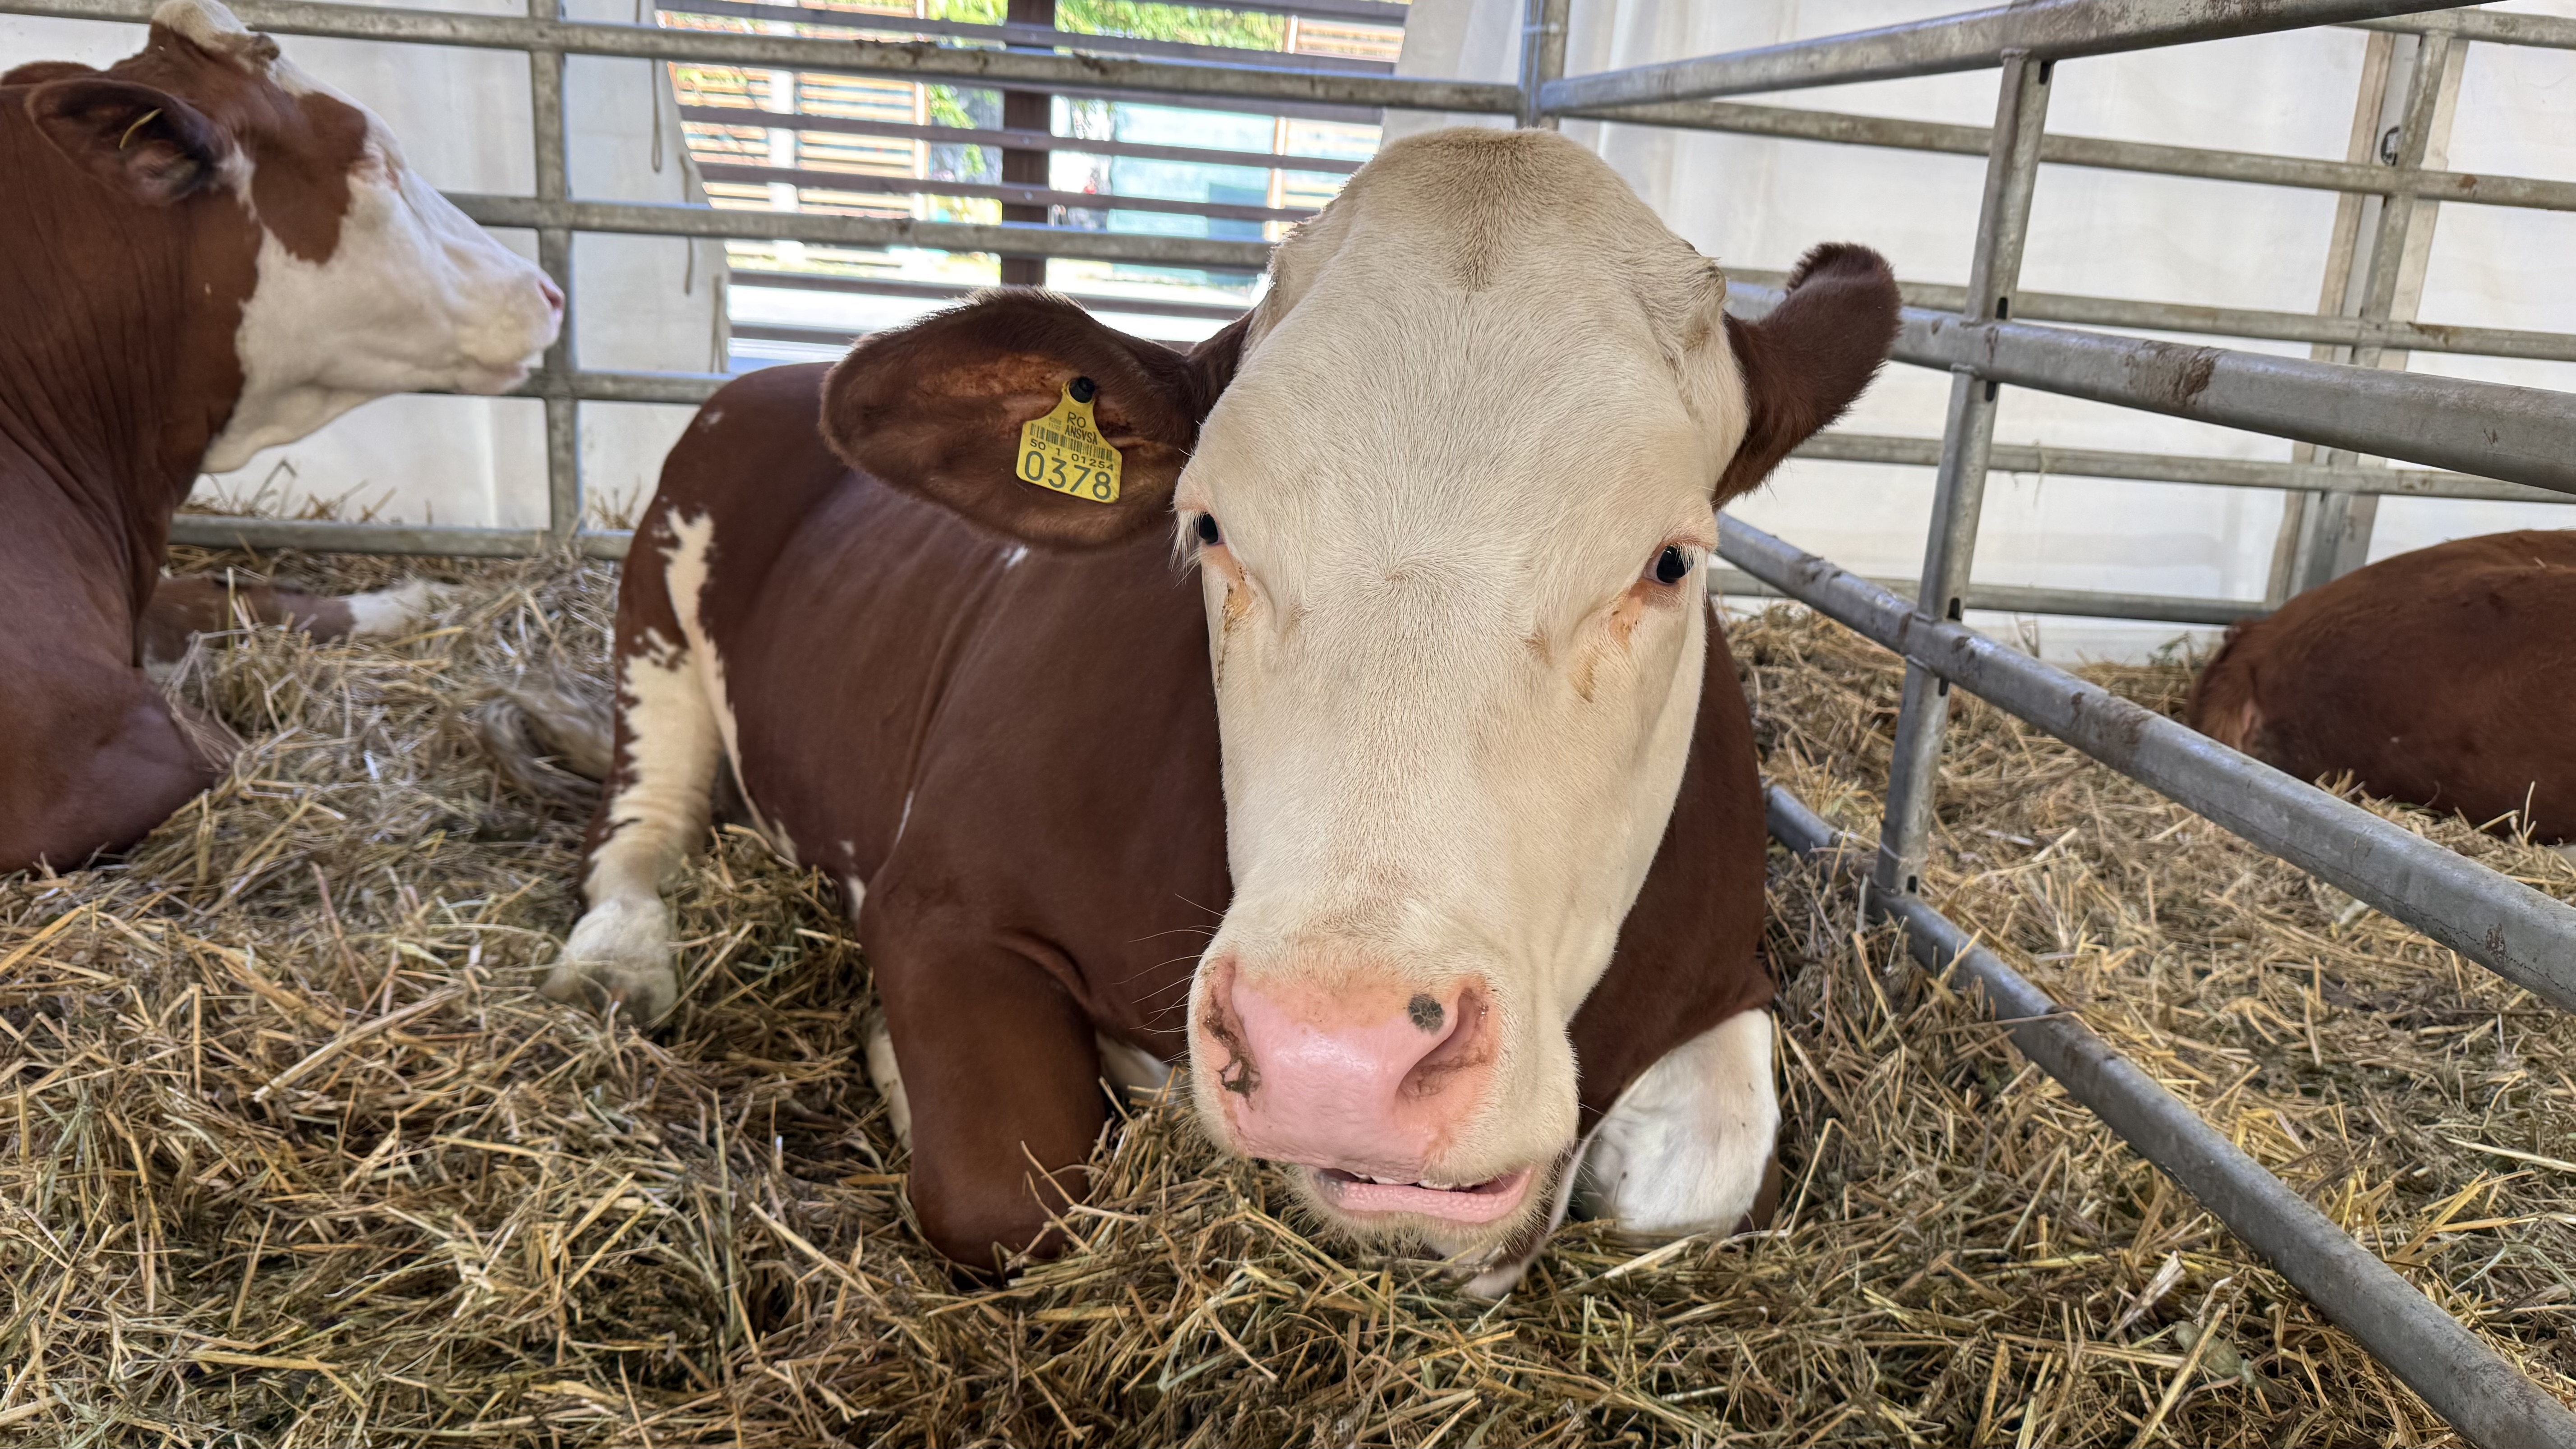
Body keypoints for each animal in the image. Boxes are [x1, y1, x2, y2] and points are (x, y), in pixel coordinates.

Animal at [513, 128, 1897, 1292]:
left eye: (1670, 561)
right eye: (1212, 528)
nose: (1336, 1059)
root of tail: (767, 378)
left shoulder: (1724, 967)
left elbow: (1700, 1189)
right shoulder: (938, 896)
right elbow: (1010, 1189)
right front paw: (908, 1063)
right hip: (657, 611)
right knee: (641, 827)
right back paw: (617, 962)